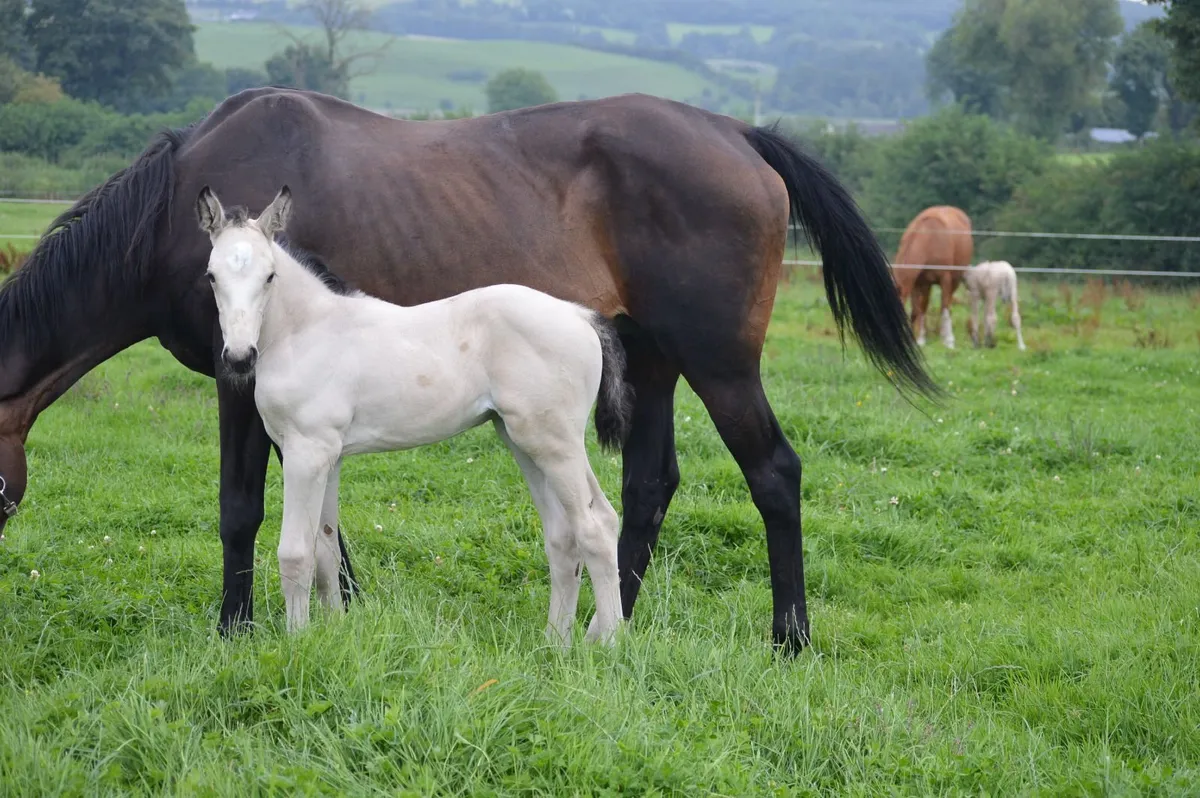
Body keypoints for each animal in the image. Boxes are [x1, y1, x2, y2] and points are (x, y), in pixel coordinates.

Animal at [198, 185, 631, 642]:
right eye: (212, 276)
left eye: (269, 276)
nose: (239, 358)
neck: (305, 332)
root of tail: (580, 316)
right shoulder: (328, 458)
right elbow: (326, 548)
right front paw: (333, 634)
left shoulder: (306, 453)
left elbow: (296, 553)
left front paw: (298, 641)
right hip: (524, 442)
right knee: (564, 536)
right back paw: (557, 642)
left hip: (556, 444)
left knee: (596, 526)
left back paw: (608, 642)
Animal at [891, 206, 973, 349]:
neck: (928, 238)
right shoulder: (918, 283)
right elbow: (918, 310)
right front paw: (919, 340)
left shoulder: (945, 279)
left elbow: (943, 308)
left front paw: (948, 342)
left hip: (955, 280)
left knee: (948, 304)